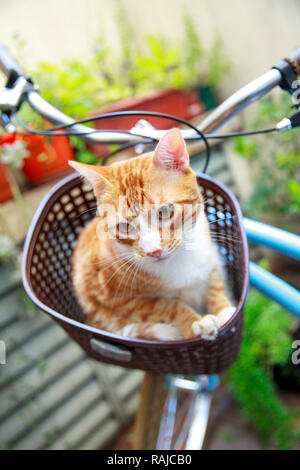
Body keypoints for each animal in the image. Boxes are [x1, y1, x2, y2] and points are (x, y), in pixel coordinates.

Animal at [69, 129, 236, 342]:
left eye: (164, 212)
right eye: (124, 227)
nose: (153, 252)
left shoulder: (210, 257)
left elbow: (214, 285)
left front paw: (224, 312)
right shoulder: (118, 299)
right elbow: (167, 306)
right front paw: (195, 323)